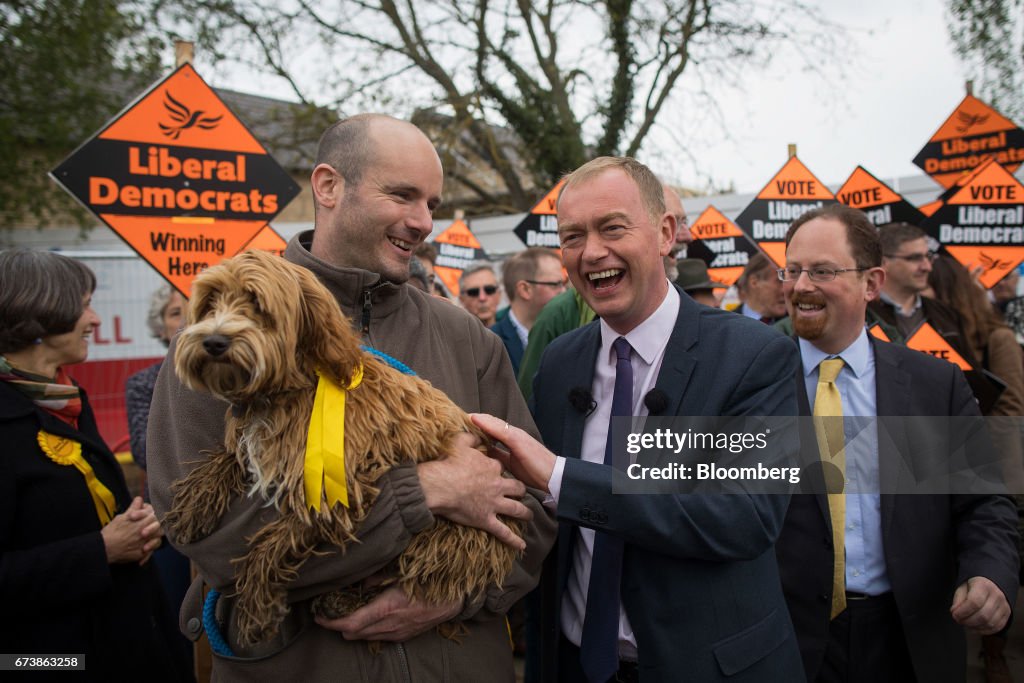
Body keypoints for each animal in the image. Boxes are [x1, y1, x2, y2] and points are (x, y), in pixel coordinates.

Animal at [165, 249, 528, 647]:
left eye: (256, 303)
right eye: (210, 301)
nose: (214, 342)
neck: (294, 385)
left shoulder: (340, 485)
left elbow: (271, 542)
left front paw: (255, 604)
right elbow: (229, 455)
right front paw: (195, 503)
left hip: (449, 535)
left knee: (413, 580)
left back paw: (346, 600)